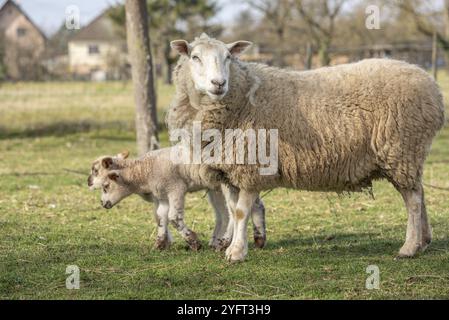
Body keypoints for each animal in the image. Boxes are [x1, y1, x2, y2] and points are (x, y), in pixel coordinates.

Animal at [89, 146, 268, 251]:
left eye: (106, 185)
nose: (103, 204)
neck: (143, 171)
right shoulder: (162, 195)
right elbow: (160, 217)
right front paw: (160, 243)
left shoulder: (175, 188)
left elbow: (174, 218)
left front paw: (193, 242)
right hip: (219, 188)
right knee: (248, 207)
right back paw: (258, 238)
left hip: (228, 184)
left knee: (232, 212)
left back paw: (224, 242)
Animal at [168, 33, 444, 262]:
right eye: (195, 57)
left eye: (228, 57)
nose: (219, 83)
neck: (241, 97)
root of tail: (433, 89)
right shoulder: (229, 171)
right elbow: (232, 210)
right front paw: (234, 245)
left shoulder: (251, 166)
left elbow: (240, 212)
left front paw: (236, 253)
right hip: (408, 154)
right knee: (419, 193)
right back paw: (424, 241)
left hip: (401, 148)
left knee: (413, 201)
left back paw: (409, 248)